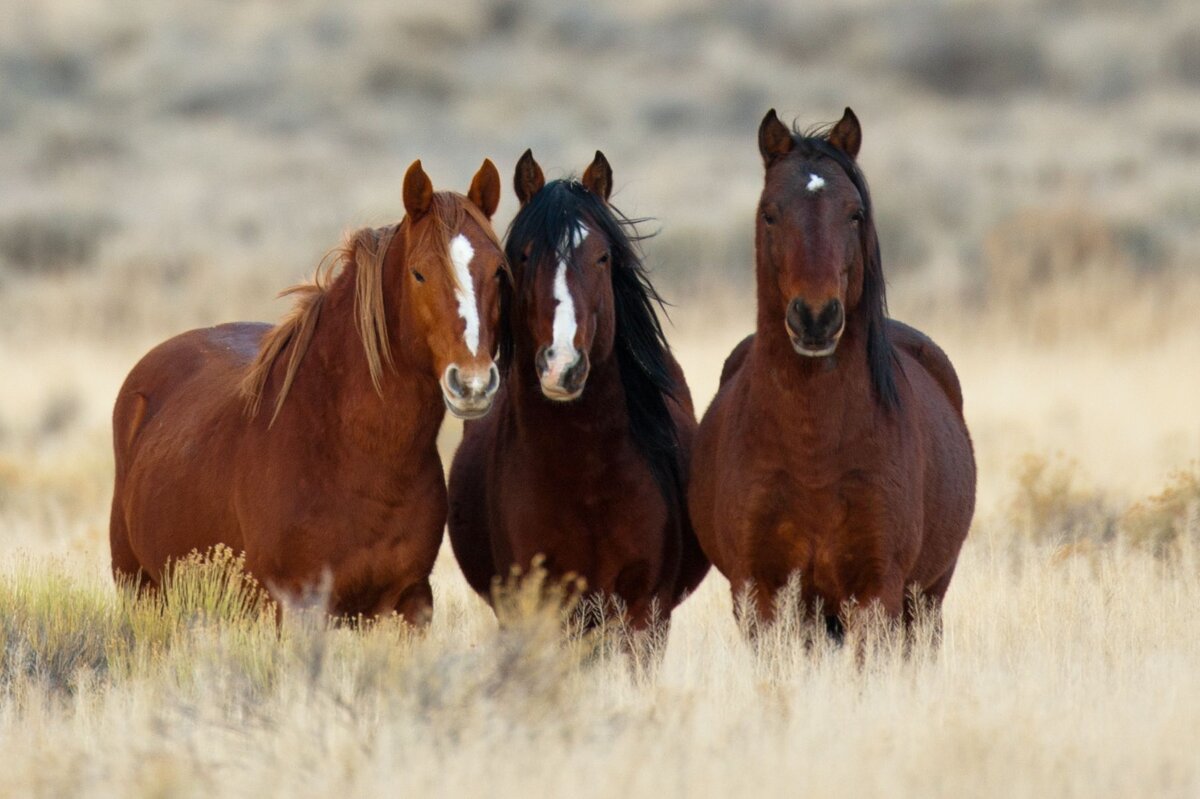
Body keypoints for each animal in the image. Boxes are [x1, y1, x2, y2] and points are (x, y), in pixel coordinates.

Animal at [110, 160, 508, 623]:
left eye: (499, 272)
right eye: (419, 273)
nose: (473, 382)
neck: (353, 452)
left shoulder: (408, 603)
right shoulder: (293, 605)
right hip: (141, 589)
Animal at [691, 109, 979, 638]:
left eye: (854, 213)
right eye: (770, 212)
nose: (816, 317)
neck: (813, 448)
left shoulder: (876, 593)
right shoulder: (759, 592)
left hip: (925, 601)